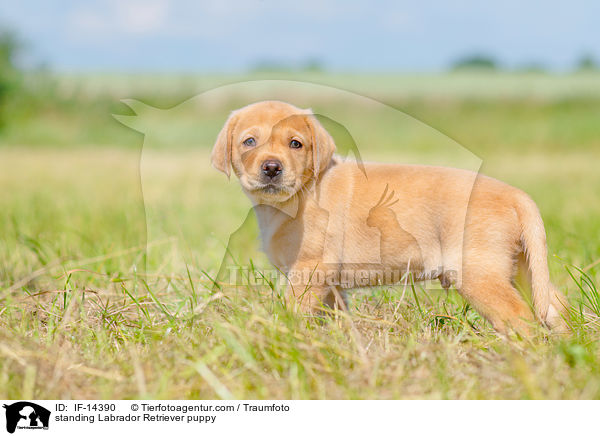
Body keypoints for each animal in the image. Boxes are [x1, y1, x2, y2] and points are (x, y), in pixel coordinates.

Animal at [210, 100, 568, 336]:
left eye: (295, 144)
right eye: (249, 142)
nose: (272, 168)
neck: (300, 194)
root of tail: (517, 195)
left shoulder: (309, 270)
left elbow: (293, 311)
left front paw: (284, 336)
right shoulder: (329, 283)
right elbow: (336, 316)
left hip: (480, 274)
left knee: (521, 318)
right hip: (523, 267)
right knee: (554, 304)